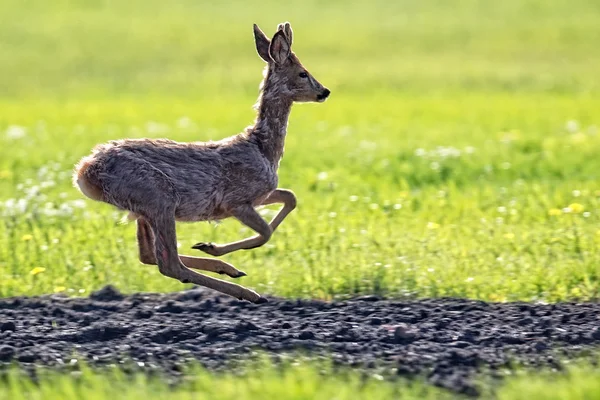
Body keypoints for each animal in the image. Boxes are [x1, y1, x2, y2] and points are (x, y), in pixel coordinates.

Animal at [74, 22, 332, 304]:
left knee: (148, 255)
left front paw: (209, 247)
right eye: (303, 73)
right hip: (158, 197)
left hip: (143, 208)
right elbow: (266, 232)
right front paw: (212, 247)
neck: (261, 148)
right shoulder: (235, 201)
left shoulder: (259, 196)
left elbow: (290, 197)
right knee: (169, 263)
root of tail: (85, 172)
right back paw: (247, 291)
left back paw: (229, 270)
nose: (324, 92)